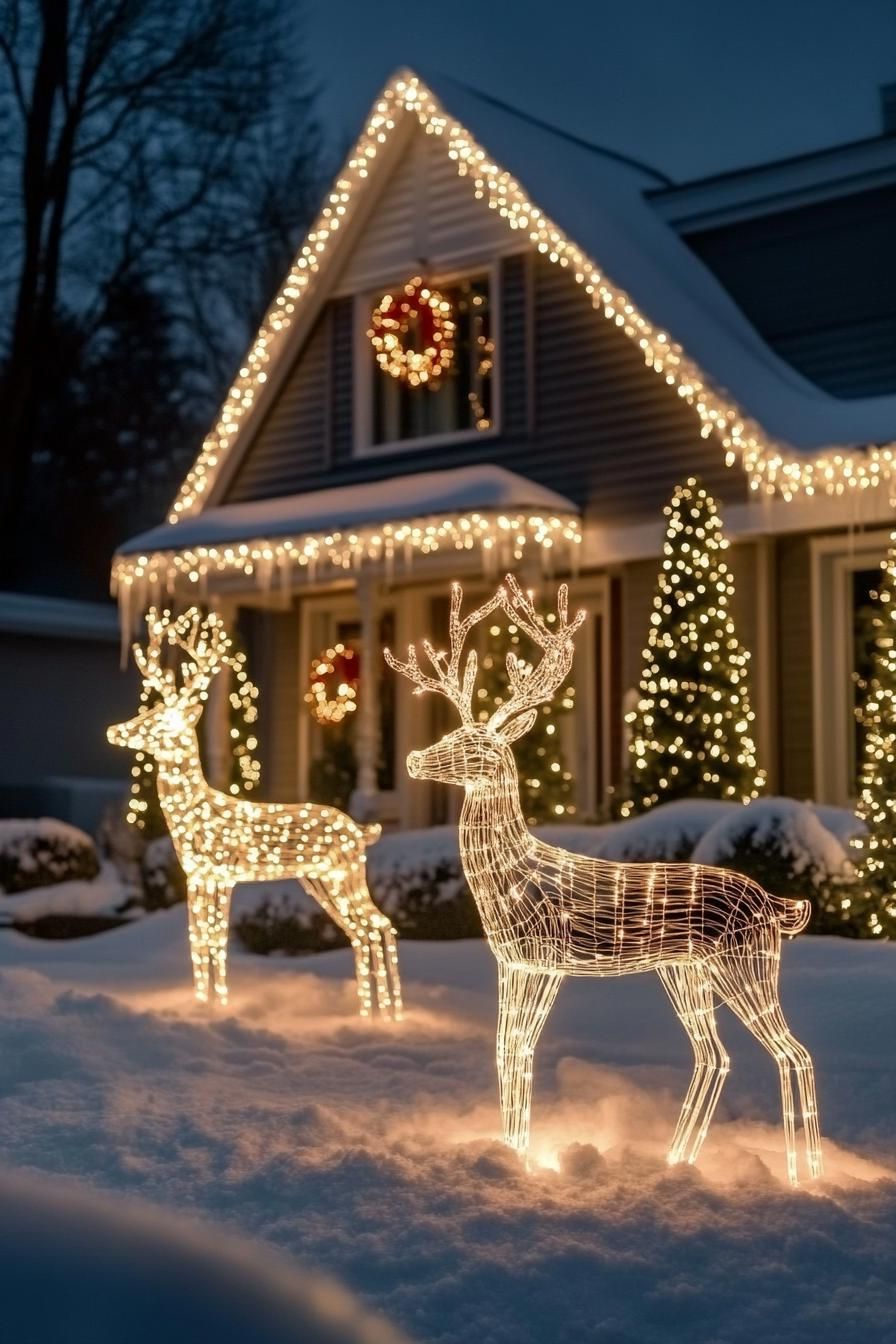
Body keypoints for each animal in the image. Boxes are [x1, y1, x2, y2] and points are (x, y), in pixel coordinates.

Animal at [108, 608, 402, 1019]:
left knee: (380, 926)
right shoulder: (196, 875)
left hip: (343, 874)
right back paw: (373, 1013)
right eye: (148, 709)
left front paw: (217, 1005)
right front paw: (202, 1005)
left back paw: (387, 1015)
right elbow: (198, 940)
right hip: (322, 879)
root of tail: (361, 831)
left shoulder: (221, 871)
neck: (195, 815)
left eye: (162, 719)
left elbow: (215, 941)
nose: (114, 731)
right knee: (366, 931)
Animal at [385, 576, 822, 1186]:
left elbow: (520, 1051)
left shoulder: (544, 958)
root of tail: (776, 903)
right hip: (685, 971)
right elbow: (502, 1050)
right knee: (715, 1055)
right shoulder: (511, 961)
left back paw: (806, 1177)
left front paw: (516, 1157)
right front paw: (510, 1151)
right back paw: (676, 1161)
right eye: (449, 730)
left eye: (475, 746)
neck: (510, 879)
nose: (413, 759)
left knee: (794, 1053)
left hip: (746, 959)